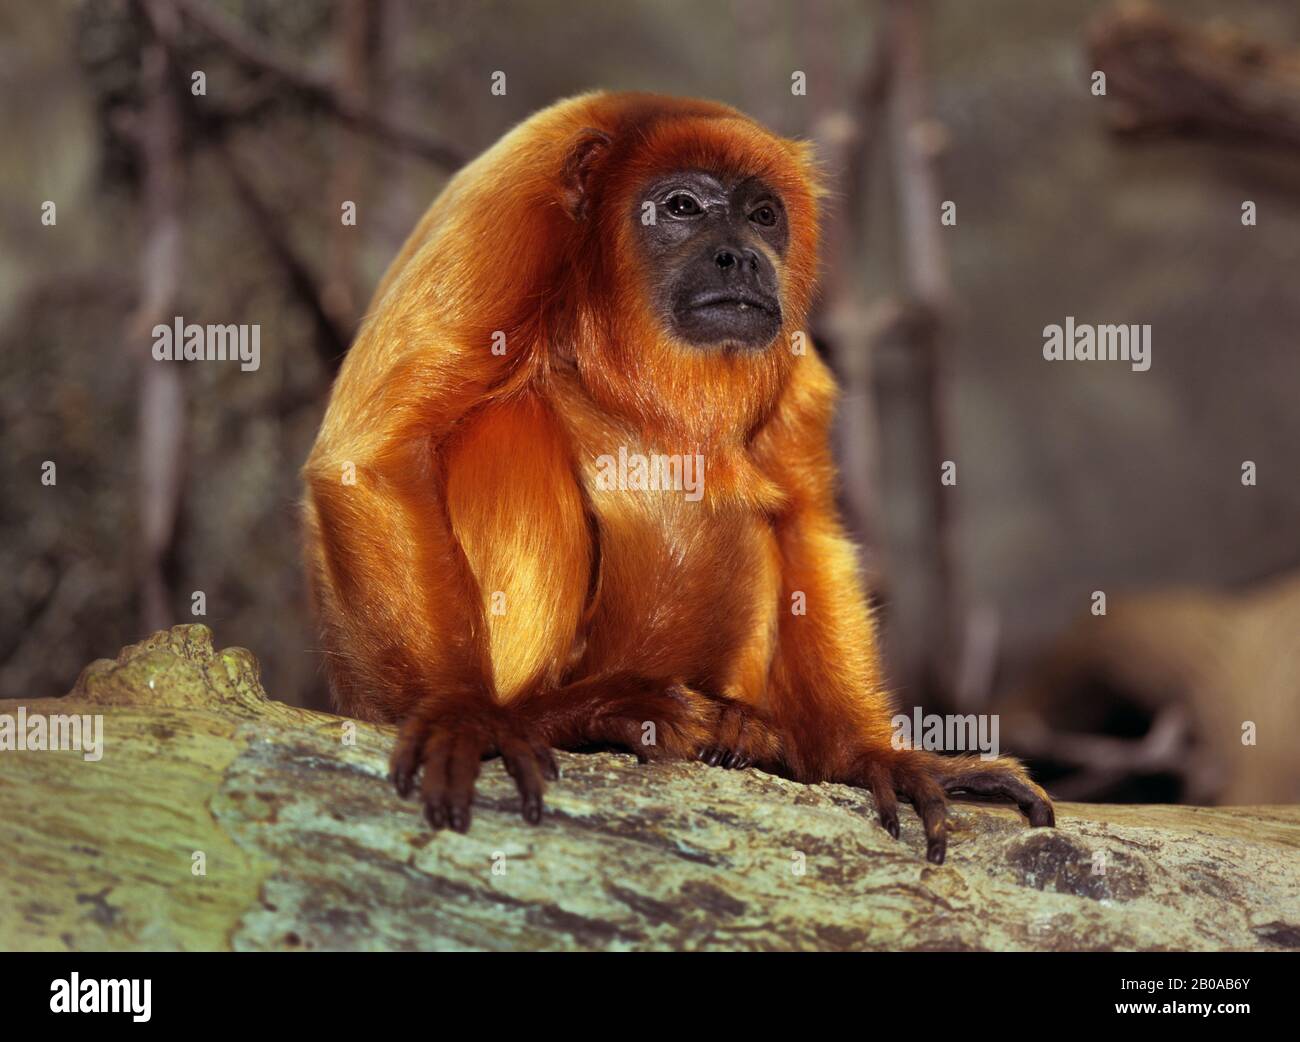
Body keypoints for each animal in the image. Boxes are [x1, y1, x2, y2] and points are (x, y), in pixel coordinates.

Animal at [299, 91, 1050, 862]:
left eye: (763, 215)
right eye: (683, 206)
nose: (740, 257)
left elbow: (805, 519)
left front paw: (868, 756)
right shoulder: (506, 224)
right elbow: (377, 455)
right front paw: (462, 713)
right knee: (512, 421)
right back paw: (571, 715)